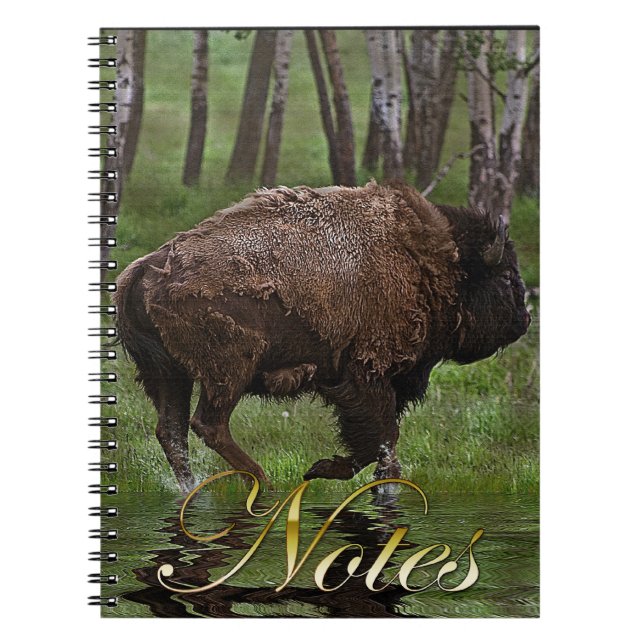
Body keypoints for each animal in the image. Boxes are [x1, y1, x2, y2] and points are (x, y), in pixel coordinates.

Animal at [115, 181, 531, 493]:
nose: (524, 320)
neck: (426, 262)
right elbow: (380, 435)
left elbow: (380, 440)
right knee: (207, 424)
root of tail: (146, 268)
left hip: (169, 374)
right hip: (228, 372)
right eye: (507, 276)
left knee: (172, 431)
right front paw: (326, 471)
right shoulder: (367, 373)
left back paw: (195, 491)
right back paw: (264, 482)